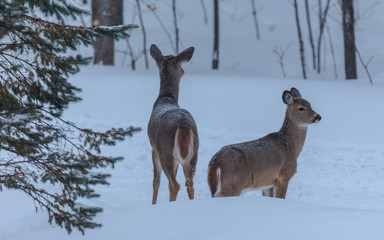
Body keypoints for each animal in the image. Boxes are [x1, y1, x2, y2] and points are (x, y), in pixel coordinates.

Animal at [148, 44, 200, 204]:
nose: (184, 72)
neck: (166, 99)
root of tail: (183, 125)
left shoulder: (153, 148)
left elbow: (156, 181)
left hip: (166, 152)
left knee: (174, 185)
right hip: (193, 153)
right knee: (189, 183)